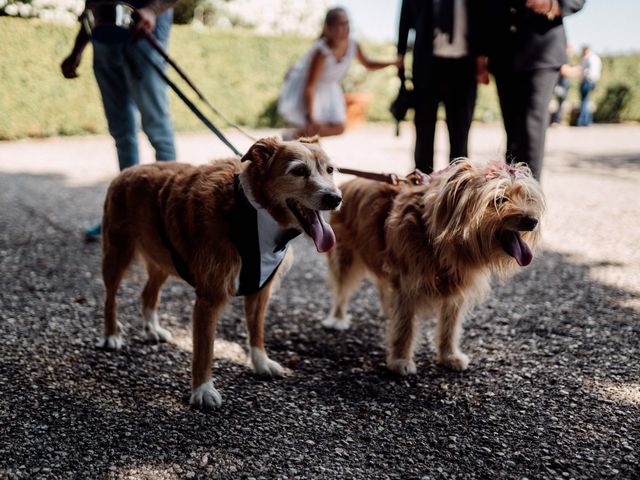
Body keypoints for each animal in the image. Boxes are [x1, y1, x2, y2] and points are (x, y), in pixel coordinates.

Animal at [99, 137, 340, 410]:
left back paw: (152, 329)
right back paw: (111, 335)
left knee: (147, 294)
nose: (335, 198)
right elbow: (205, 348)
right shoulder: (209, 297)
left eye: (329, 170)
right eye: (299, 171)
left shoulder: (260, 291)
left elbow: (256, 331)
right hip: (117, 252)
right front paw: (202, 390)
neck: (251, 212)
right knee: (110, 297)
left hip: (162, 260)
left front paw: (260, 363)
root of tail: (127, 171)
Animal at [324, 159, 544, 374]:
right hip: (344, 257)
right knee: (341, 290)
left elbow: (449, 326)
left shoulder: (454, 293)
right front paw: (400, 360)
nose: (533, 220)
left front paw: (449, 356)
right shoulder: (407, 284)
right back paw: (338, 319)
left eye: (526, 197)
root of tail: (348, 182)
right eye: (499, 200)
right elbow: (404, 326)